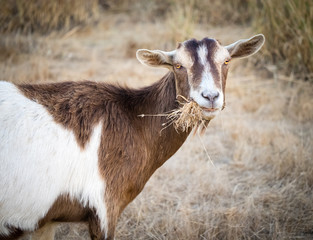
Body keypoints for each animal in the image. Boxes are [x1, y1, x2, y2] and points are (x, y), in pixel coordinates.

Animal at [0, 34, 264, 239]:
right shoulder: (104, 208)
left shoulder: (43, 220)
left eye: (226, 61)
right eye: (178, 66)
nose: (210, 97)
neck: (133, 119)